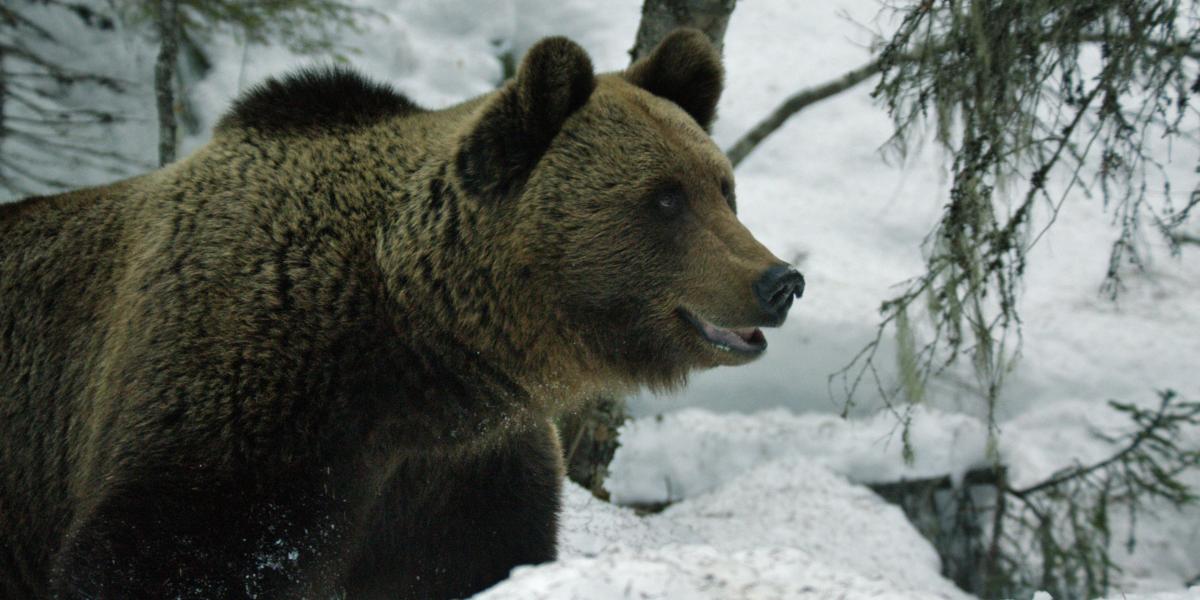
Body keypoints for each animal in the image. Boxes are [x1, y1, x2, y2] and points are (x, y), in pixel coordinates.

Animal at [2, 29, 806, 600]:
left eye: (722, 188)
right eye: (664, 198)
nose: (780, 280)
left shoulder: (462, 471)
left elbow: (475, 558)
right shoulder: (235, 417)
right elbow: (161, 558)